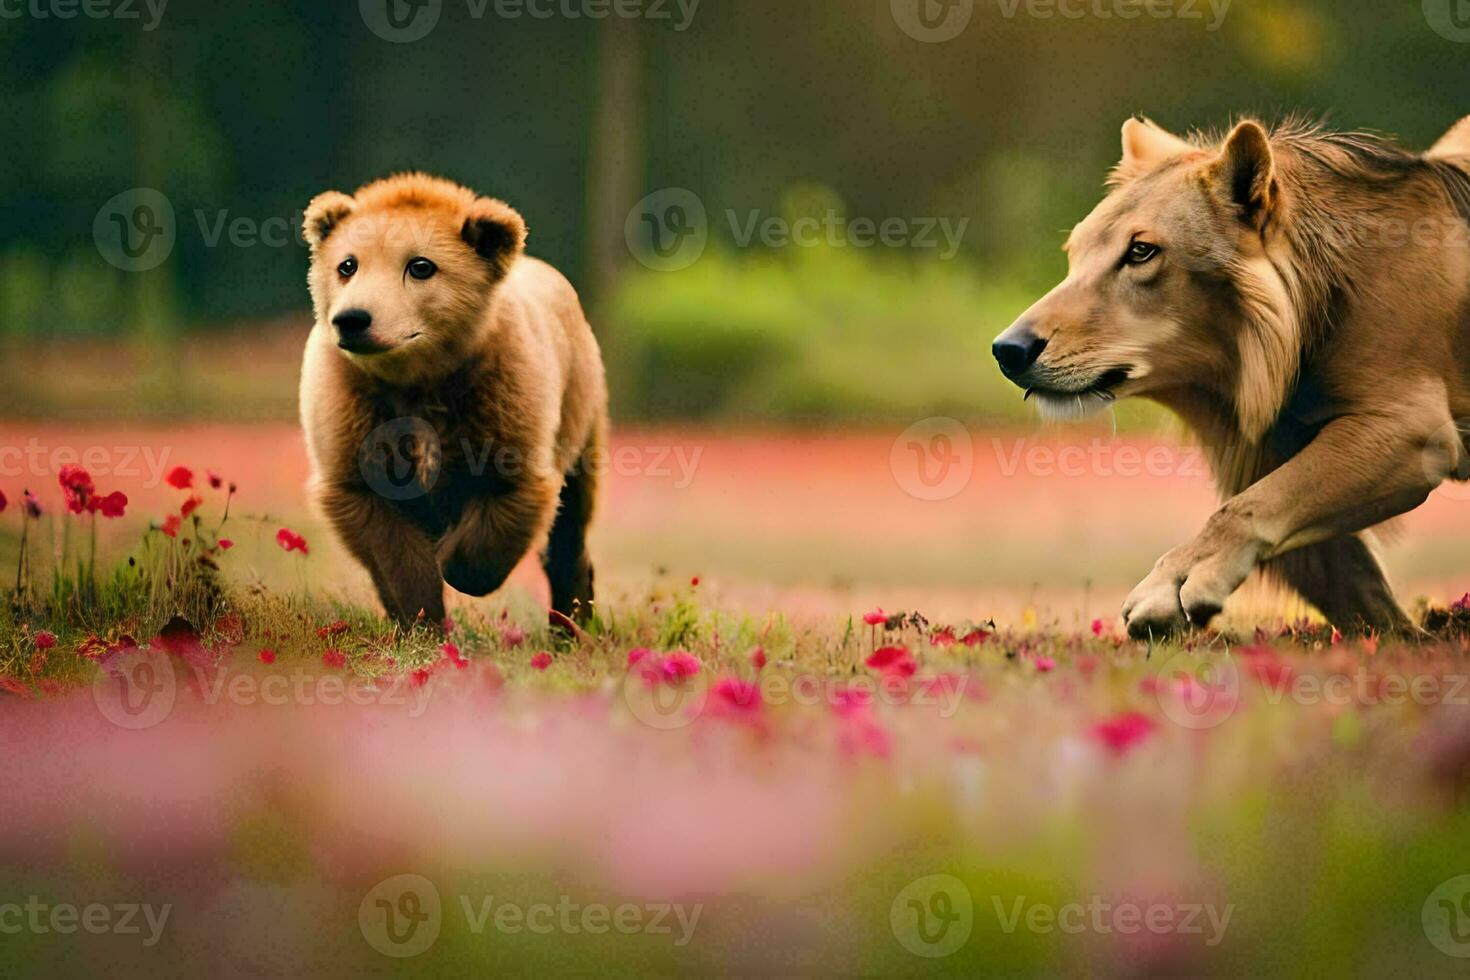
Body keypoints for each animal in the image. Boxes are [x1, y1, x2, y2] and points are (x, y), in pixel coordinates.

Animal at [298, 173, 608, 628]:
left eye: (420, 265)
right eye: (347, 264)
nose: (353, 319)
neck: (420, 377)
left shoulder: (502, 399)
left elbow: (512, 489)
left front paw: (456, 563)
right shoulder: (355, 412)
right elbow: (389, 542)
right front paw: (420, 615)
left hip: (580, 402)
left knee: (571, 522)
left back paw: (572, 618)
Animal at [993, 116, 1464, 637]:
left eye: (1141, 251)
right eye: (1074, 253)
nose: (1008, 350)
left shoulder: (1411, 434)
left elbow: (1253, 506)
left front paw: (1173, 585)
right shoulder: (1267, 459)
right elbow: (1356, 592)